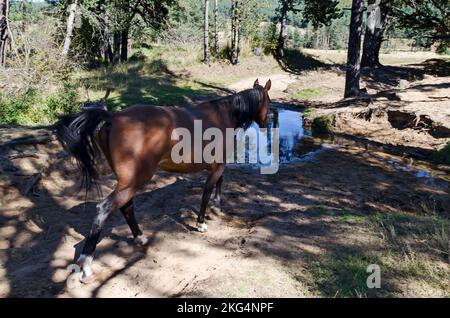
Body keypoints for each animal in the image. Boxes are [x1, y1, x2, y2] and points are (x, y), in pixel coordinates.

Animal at [57, 79, 274, 284]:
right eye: (269, 102)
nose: (265, 124)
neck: (223, 114)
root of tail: (113, 117)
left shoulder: (217, 165)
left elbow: (219, 183)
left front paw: (217, 207)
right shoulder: (217, 166)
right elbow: (207, 191)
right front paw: (201, 222)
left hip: (128, 182)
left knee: (126, 206)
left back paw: (140, 237)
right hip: (135, 179)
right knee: (105, 208)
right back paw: (86, 265)